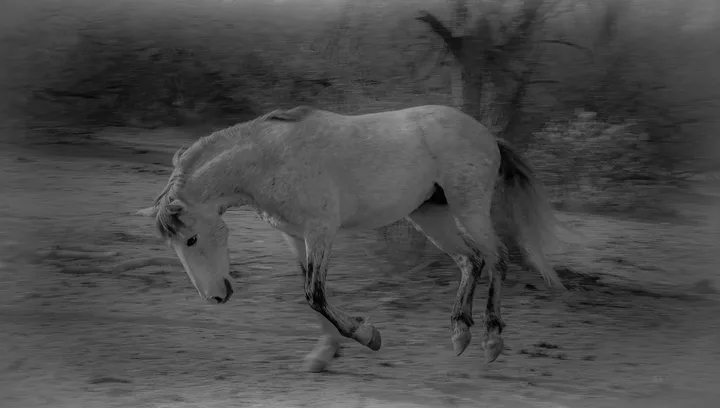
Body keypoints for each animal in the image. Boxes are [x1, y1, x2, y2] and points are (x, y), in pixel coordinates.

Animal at [136, 104, 567, 373]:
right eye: (173, 245)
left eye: (191, 240)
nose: (215, 297)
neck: (271, 158)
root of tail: (487, 135)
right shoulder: (296, 237)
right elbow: (310, 294)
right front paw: (323, 356)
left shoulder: (321, 232)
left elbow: (315, 294)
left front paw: (367, 335)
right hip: (430, 215)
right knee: (470, 261)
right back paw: (460, 332)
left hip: (469, 209)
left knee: (498, 258)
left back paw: (491, 340)